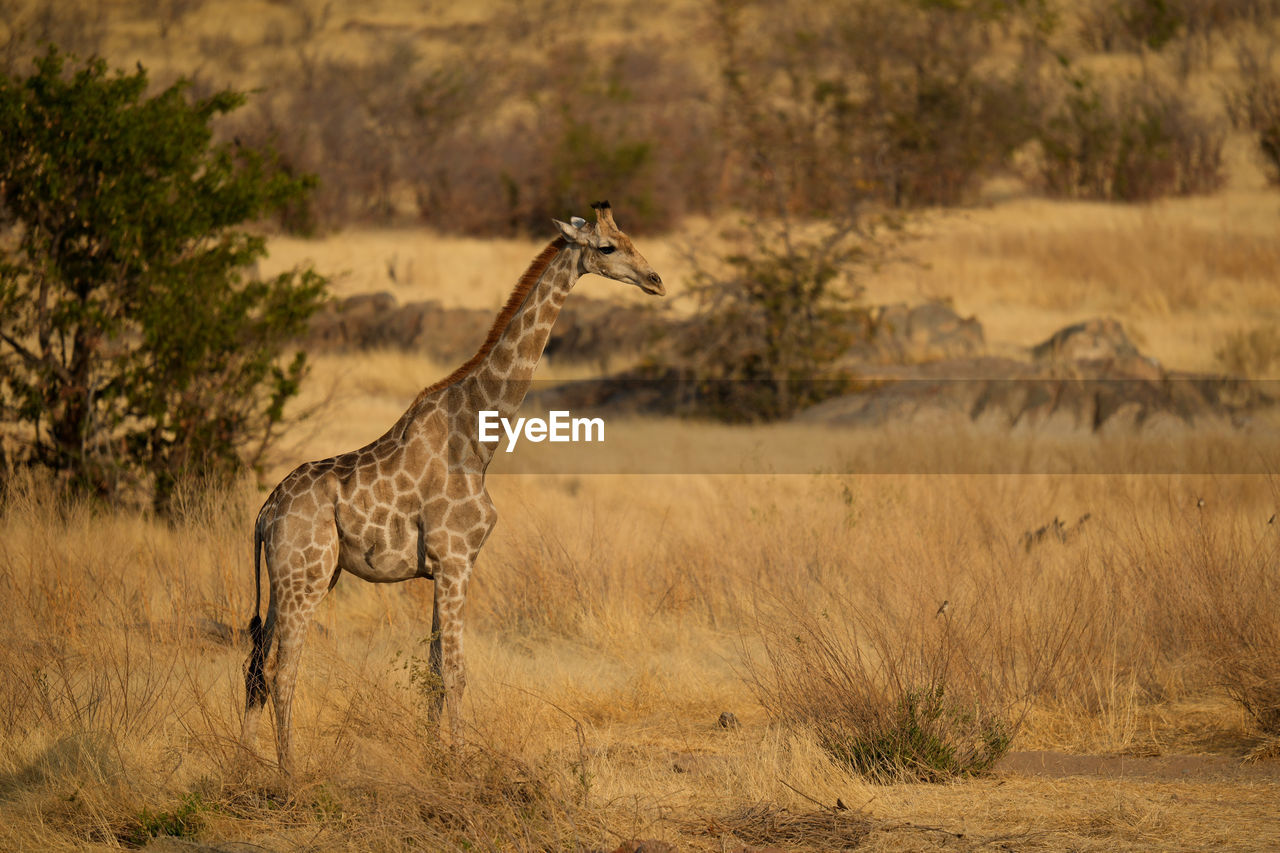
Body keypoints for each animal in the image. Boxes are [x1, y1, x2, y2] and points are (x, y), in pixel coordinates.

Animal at [240, 202, 665, 773]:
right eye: (607, 247)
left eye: (632, 239)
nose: (656, 280)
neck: (477, 438)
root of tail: (265, 513)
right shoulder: (456, 559)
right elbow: (458, 673)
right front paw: (460, 765)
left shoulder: (447, 566)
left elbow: (435, 671)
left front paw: (434, 761)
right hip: (303, 577)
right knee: (281, 670)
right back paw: (289, 772)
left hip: (297, 577)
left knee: (255, 668)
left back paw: (242, 764)